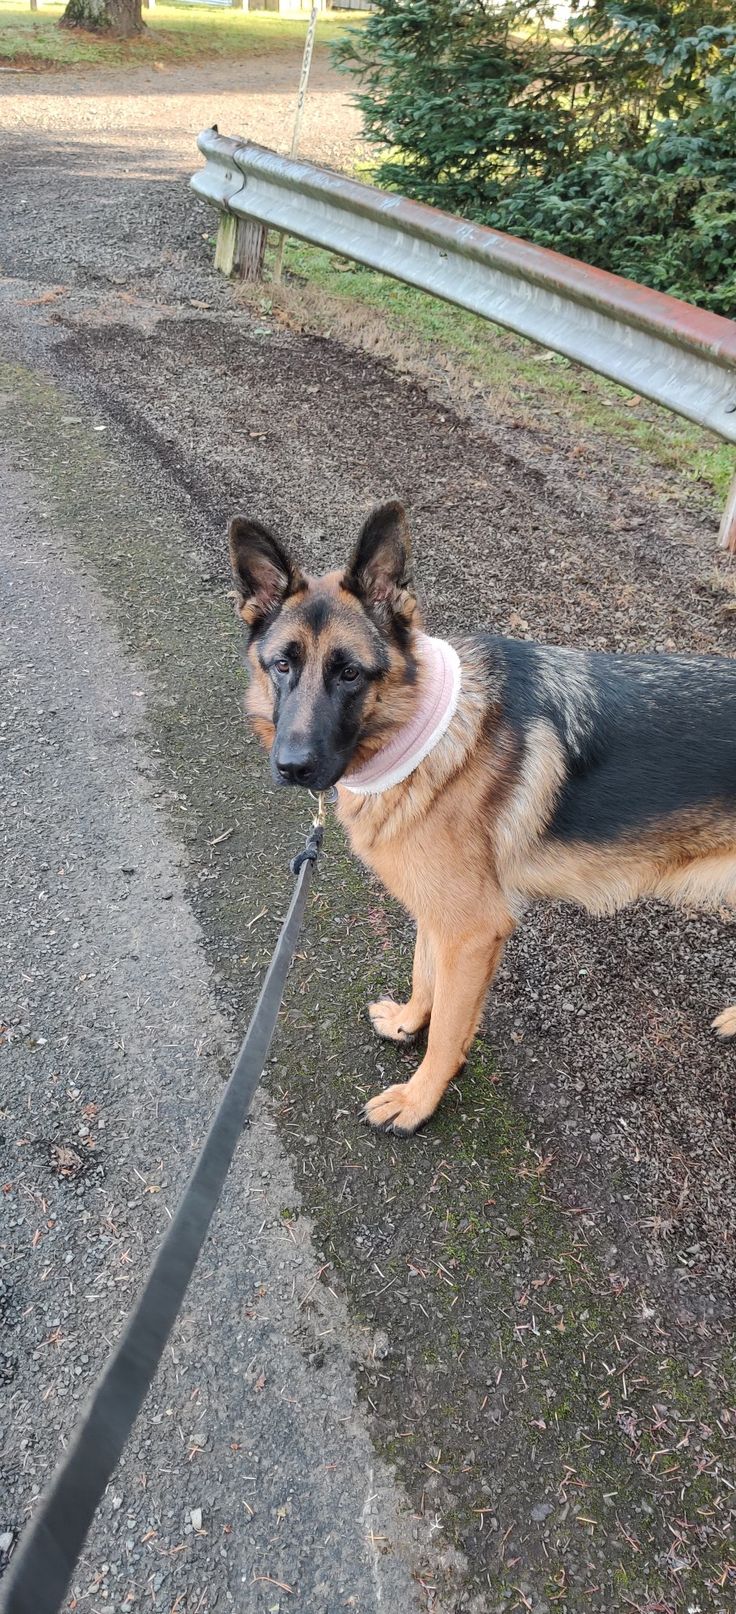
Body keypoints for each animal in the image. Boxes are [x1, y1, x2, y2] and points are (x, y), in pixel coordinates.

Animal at [229, 500, 736, 1136]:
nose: (294, 767)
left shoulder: (472, 932)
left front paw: (419, 1099)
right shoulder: (438, 916)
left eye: (350, 674)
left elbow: (448, 1031)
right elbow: (426, 977)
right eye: (282, 666)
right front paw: (409, 1022)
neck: (423, 733)